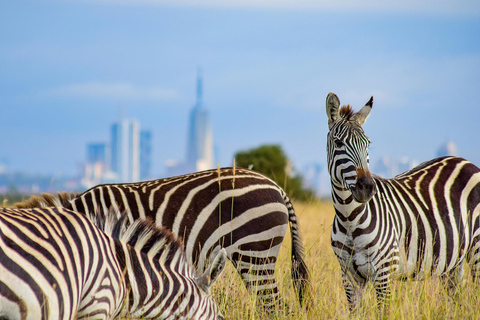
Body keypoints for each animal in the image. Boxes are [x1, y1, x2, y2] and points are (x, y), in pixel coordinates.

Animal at [324, 92, 480, 310]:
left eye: (367, 143)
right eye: (338, 143)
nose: (367, 187)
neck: (349, 218)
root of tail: (465, 161)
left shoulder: (383, 272)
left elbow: (383, 311)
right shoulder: (349, 276)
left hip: (477, 247)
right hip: (453, 260)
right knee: (455, 298)